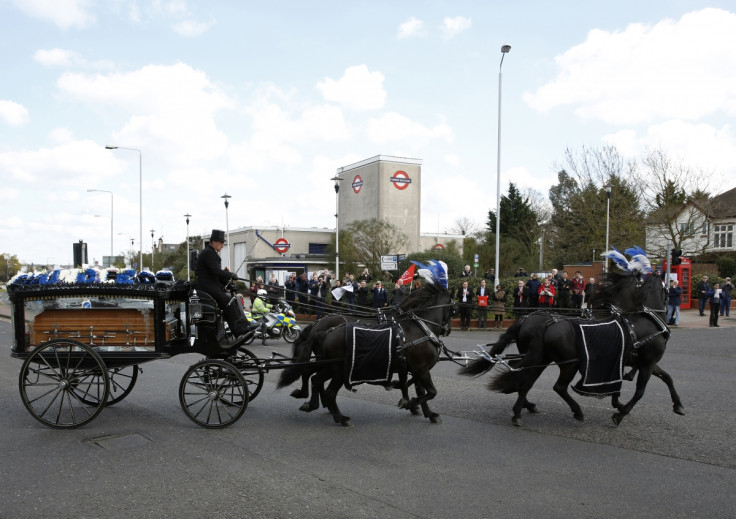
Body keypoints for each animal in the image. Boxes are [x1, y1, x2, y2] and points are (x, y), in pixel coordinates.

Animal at [278, 282, 454, 428]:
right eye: (453, 309)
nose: (447, 330)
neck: (418, 328)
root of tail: (319, 326)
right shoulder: (420, 369)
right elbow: (428, 392)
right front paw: (410, 404)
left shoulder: (414, 368)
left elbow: (418, 389)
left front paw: (425, 411)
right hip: (337, 369)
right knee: (320, 383)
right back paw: (338, 415)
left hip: (327, 364)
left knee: (313, 377)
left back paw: (315, 403)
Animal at [466, 272, 680, 426]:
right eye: (665, 289)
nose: (669, 298)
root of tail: (526, 319)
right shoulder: (647, 363)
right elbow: (640, 392)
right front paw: (620, 413)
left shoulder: (634, 361)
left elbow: (667, 378)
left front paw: (677, 405)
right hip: (568, 364)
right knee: (556, 386)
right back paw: (575, 411)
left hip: (541, 358)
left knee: (523, 377)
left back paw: (521, 407)